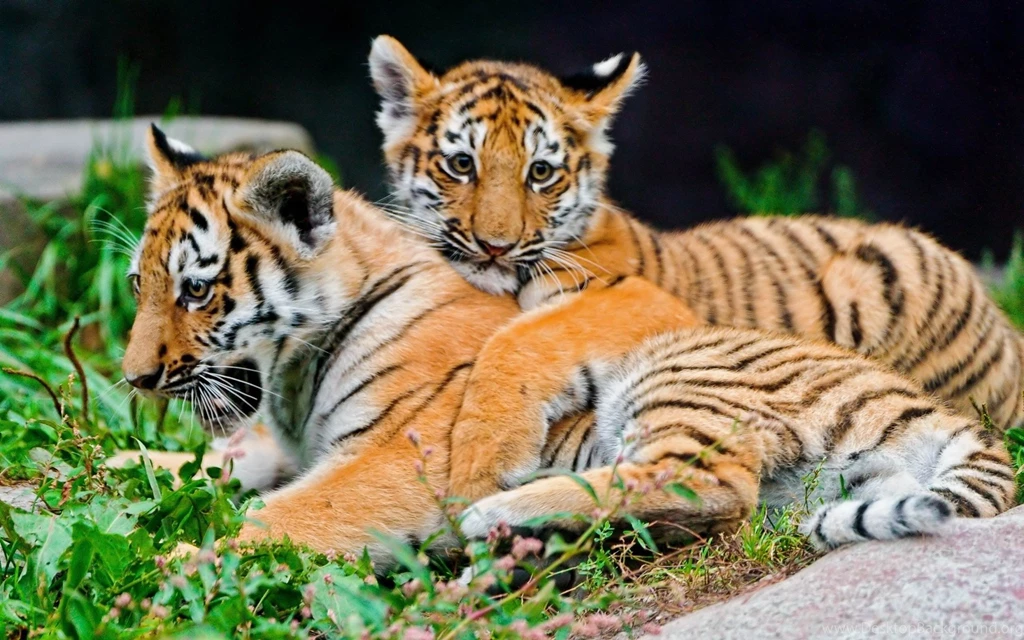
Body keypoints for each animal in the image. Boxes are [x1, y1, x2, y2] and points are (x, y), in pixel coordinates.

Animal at [119, 126, 1012, 563]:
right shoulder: (288, 442)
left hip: (679, 375)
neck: (292, 370)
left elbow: (292, 513)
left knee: (711, 485)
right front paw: (124, 465)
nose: (135, 378)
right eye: (138, 286)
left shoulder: (399, 455)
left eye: (196, 290)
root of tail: (924, 408)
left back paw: (499, 514)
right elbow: (223, 458)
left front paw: (177, 566)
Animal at [366, 36, 1024, 505]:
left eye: (541, 173)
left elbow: (518, 340)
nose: (496, 247)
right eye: (461, 164)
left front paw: (479, 467)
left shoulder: (639, 300)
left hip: (875, 274)